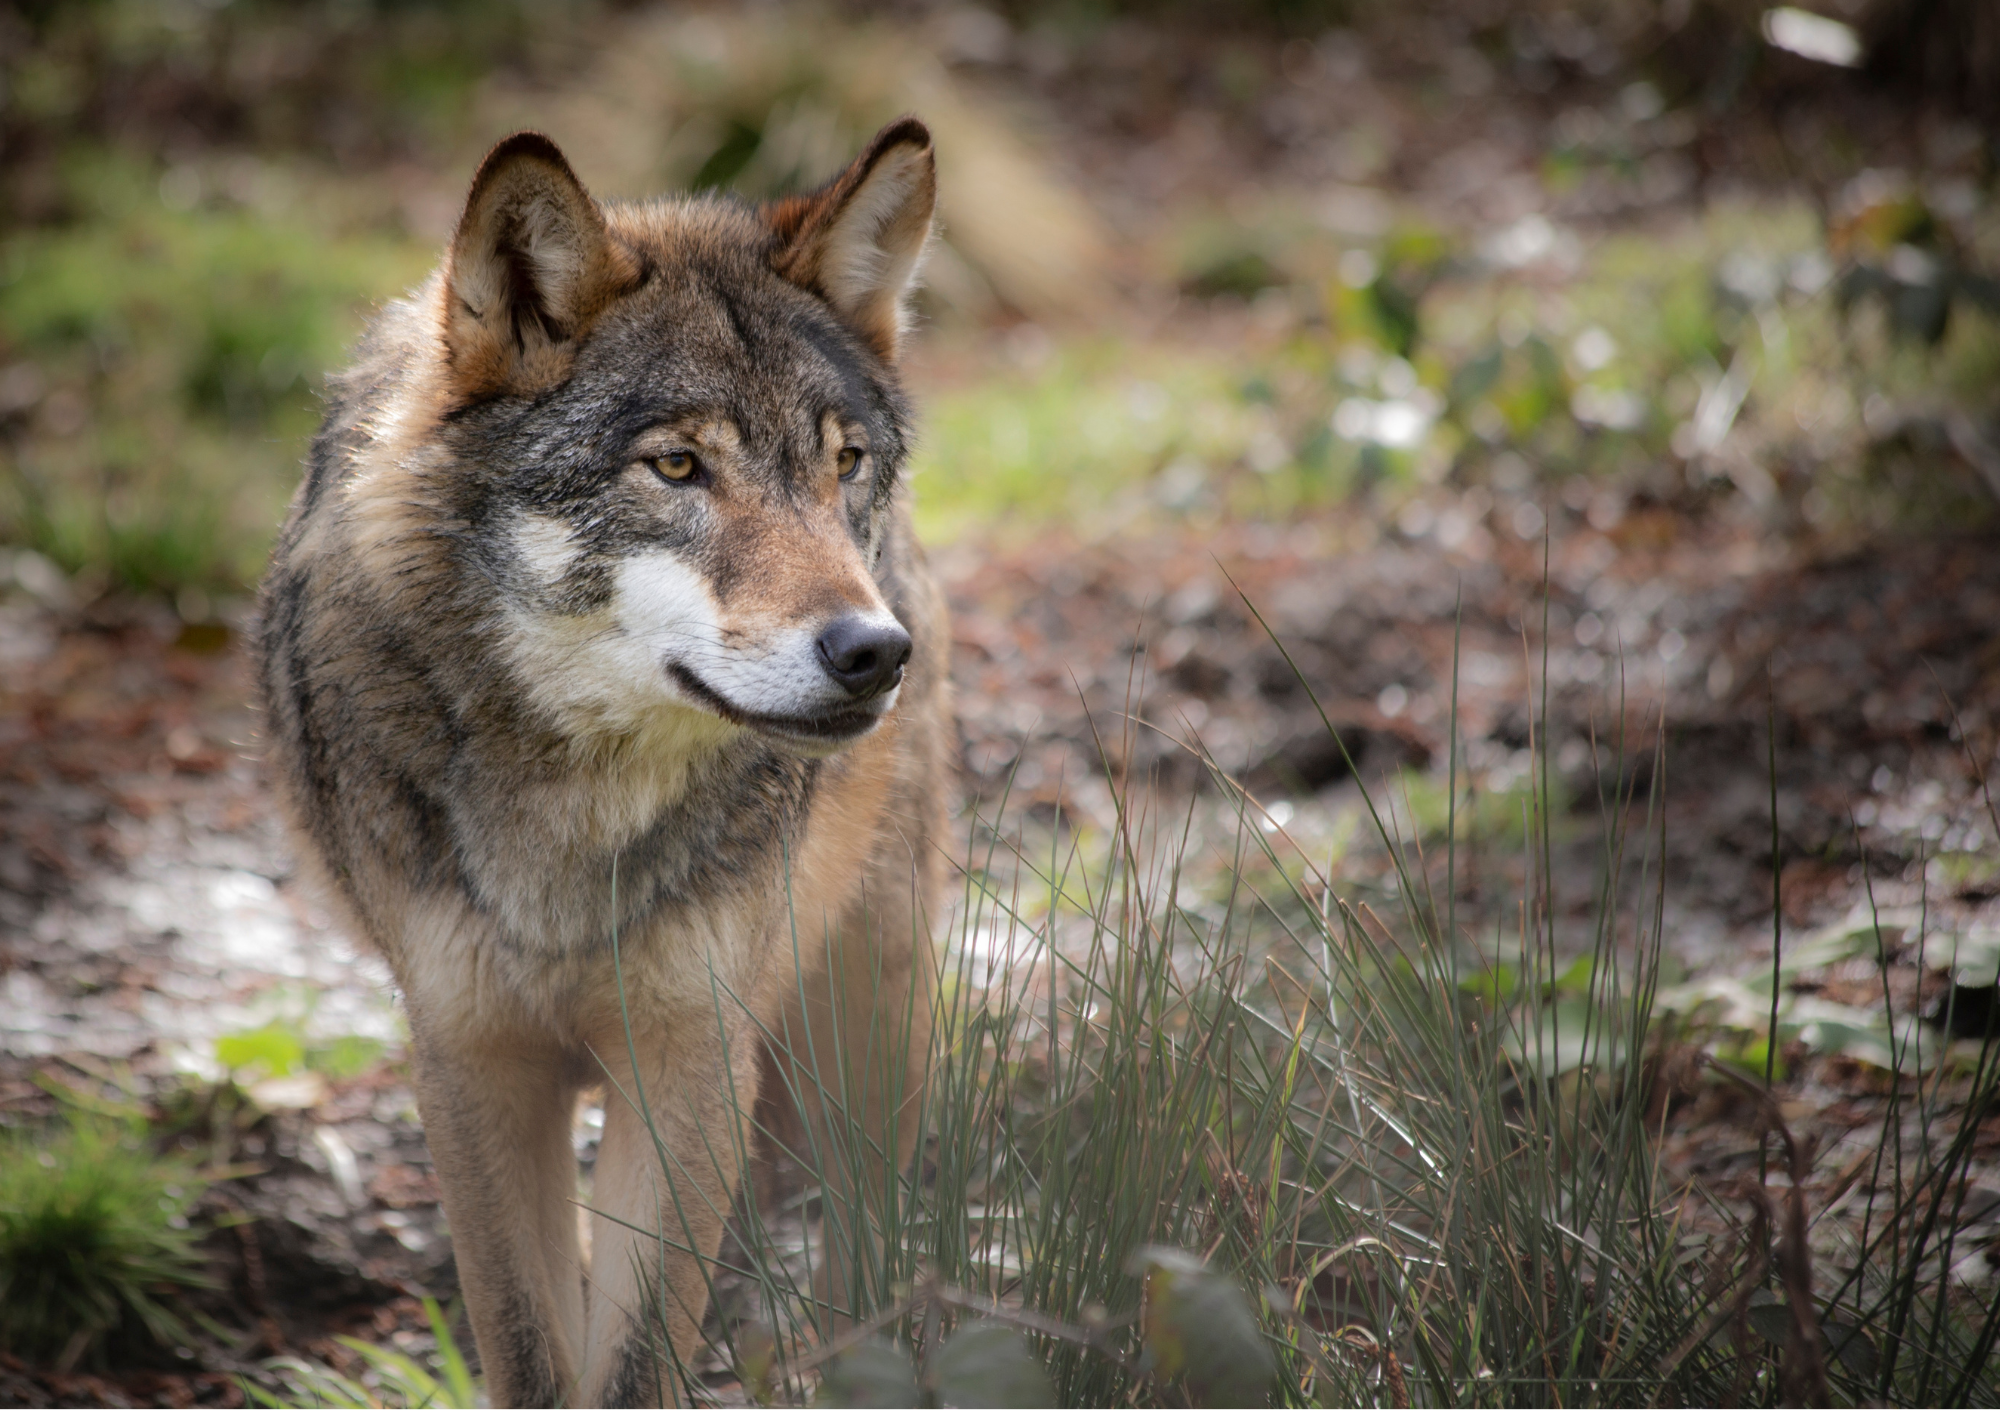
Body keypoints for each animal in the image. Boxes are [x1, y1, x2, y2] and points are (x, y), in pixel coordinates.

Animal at [254, 118, 950, 1406]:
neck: (573, 816)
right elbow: (536, 1353)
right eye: (676, 469)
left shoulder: (690, 1063)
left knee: (863, 1268)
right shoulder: (473, 1067)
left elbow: (634, 1363)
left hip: (868, 1024)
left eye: (842, 463)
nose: (874, 652)